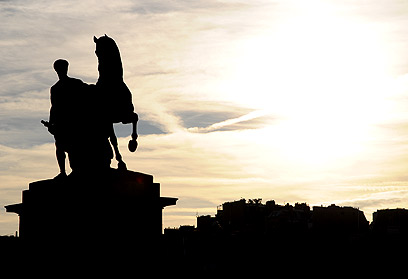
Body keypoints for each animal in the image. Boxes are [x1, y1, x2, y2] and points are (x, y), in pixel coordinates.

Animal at [93, 35, 138, 171]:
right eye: (96, 52)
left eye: (105, 50)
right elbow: (113, 139)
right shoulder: (108, 119)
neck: (112, 84)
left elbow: (135, 117)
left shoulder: (124, 116)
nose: (101, 69)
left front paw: (133, 144)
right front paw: (121, 163)